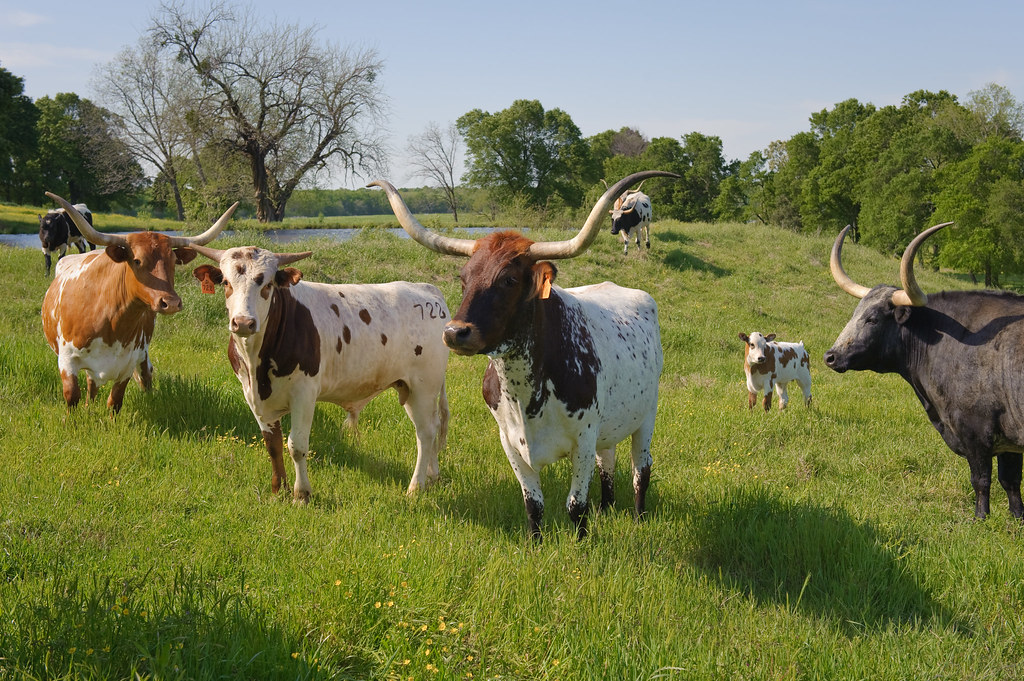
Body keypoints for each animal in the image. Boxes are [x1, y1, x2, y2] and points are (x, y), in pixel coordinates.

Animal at [41, 193, 236, 413]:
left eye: (173, 261)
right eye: (136, 260)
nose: (171, 302)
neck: (109, 318)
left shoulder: (128, 363)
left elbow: (115, 401)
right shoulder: (67, 360)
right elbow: (72, 396)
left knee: (145, 375)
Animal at [189, 245, 451, 503]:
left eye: (268, 284)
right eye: (225, 282)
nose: (243, 322)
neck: (257, 366)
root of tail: (428, 290)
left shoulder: (304, 393)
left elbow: (296, 445)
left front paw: (301, 493)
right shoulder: (252, 396)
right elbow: (272, 444)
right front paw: (278, 490)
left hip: (424, 386)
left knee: (425, 432)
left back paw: (415, 487)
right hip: (409, 388)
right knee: (433, 426)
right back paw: (432, 475)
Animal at [370, 170, 678, 540]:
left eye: (509, 280)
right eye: (463, 278)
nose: (454, 332)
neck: (524, 390)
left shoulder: (584, 438)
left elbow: (576, 506)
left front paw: (582, 544)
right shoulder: (510, 442)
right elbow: (533, 505)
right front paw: (534, 543)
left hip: (646, 416)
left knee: (640, 471)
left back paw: (638, 517)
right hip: (611, 426)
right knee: (608, 463)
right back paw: (607, 509)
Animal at [824, 222, 1024, 520]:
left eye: (872, 319)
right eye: (854, 314)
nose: (831, 356)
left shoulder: (975, 432)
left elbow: (981, 480)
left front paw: (980, 518)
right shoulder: (1007, 443)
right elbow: (1010, 481)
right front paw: (1017, 518)